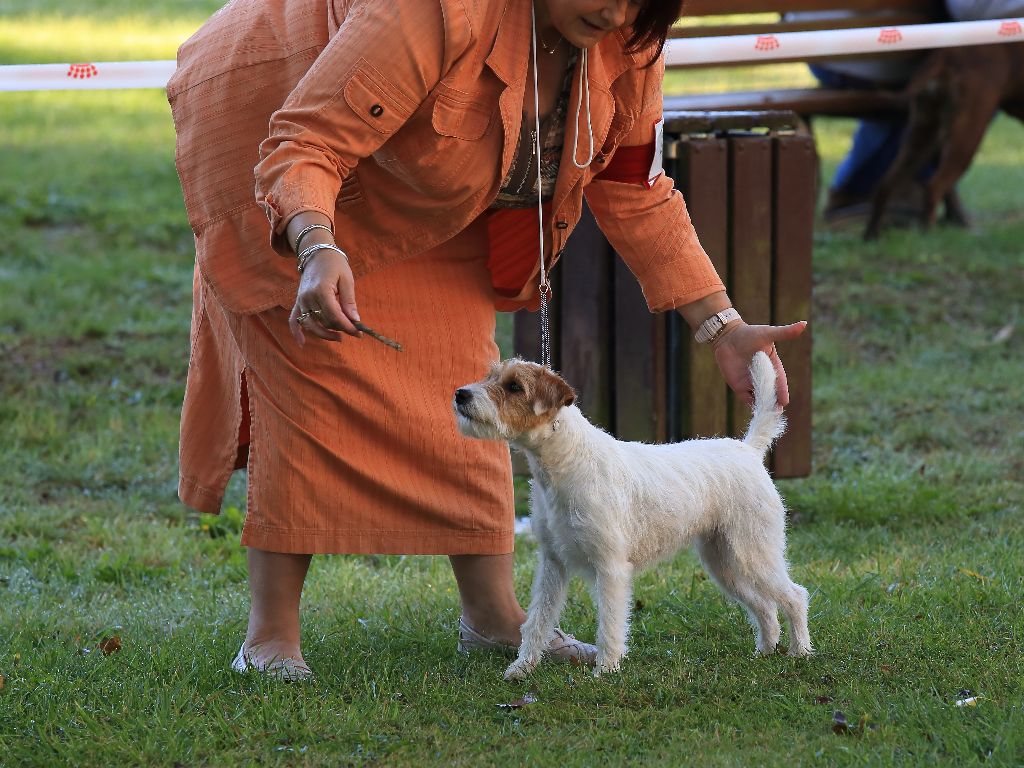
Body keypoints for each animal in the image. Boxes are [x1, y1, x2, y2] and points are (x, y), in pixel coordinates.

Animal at [864, 41, 1024, 240]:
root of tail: (946, 54)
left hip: (922, 135)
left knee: (885, 184)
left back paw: (872, 236)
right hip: (968, 134)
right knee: (934, 186)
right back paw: (927, 236)